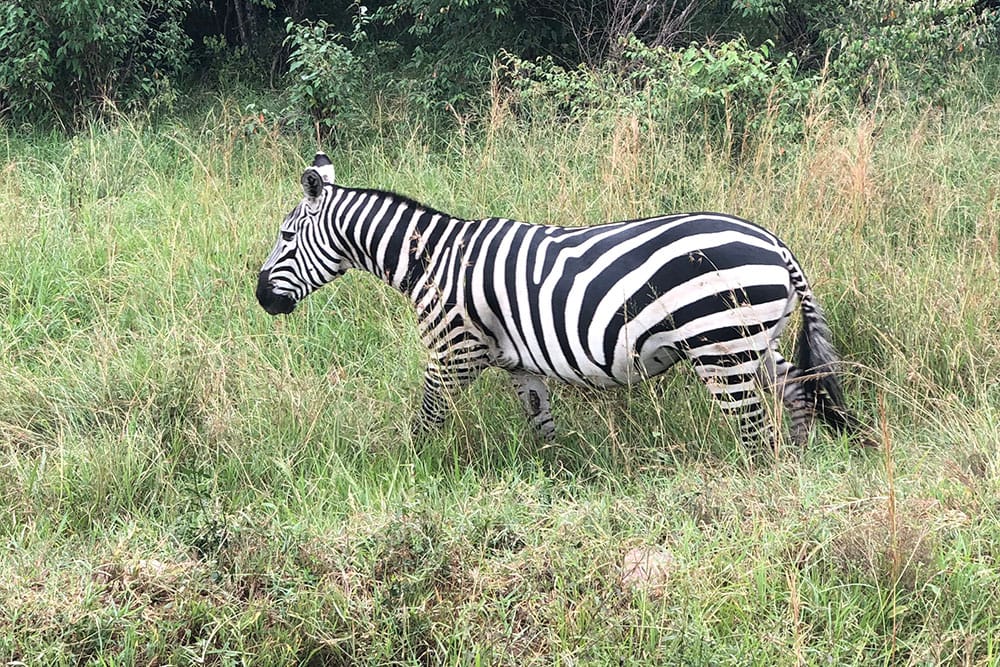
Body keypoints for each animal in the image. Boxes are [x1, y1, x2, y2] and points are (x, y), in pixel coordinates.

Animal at [258, 153, 868, 448]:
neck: (431, 260)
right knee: (797, 393)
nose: (262, 298)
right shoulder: (518, 365)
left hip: (721, 346)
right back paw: (798, 472)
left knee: (756, 430)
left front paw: (410, 472)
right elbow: (541, 426)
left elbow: (427, 419)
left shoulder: (454, 352)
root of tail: (776, 244)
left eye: (285, 237)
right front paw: (552, 482)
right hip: (753, 341)